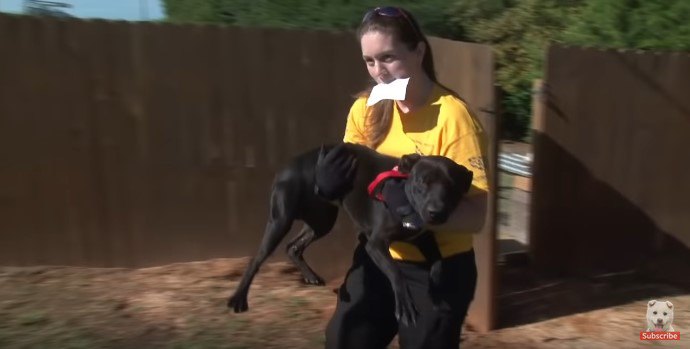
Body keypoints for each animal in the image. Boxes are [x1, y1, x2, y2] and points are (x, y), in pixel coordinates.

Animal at [228, 141, 470, 326]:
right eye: (423, 183)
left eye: (452, 186)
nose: (436, 213)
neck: (402, 194)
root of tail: (289, 163)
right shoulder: (376, 244)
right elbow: (395, 272)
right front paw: (405, 305)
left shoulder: (423, 238)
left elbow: (438, 263)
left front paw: (437, 291)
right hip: (281, 220)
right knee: (257, 258)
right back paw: (238, 299)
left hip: (322, 221)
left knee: (293, 247)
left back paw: (311, 276)